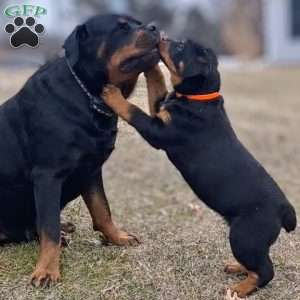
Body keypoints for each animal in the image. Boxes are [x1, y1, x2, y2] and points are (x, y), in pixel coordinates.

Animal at [0, 14, 161, 286]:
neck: (87, 96)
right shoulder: (48, 175)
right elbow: (50, 229)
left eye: (137, 22)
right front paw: (47, 270)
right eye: (121, 27)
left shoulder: (91, 170)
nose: (154, 27)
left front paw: (117, 237)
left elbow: (102, 209)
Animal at [102, 38, 296, 298]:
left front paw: (112, 94)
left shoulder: (159, 132)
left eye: (180, 47)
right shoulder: (160, 111)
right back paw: (238, 268)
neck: (197, 98)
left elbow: (134, 111)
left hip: (244, 236)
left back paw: (239, 289)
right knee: (258, 264)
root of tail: (284, 209)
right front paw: (152, 66)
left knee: (266, 271)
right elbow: (156, 88)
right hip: (249, 240)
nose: (162, 37)